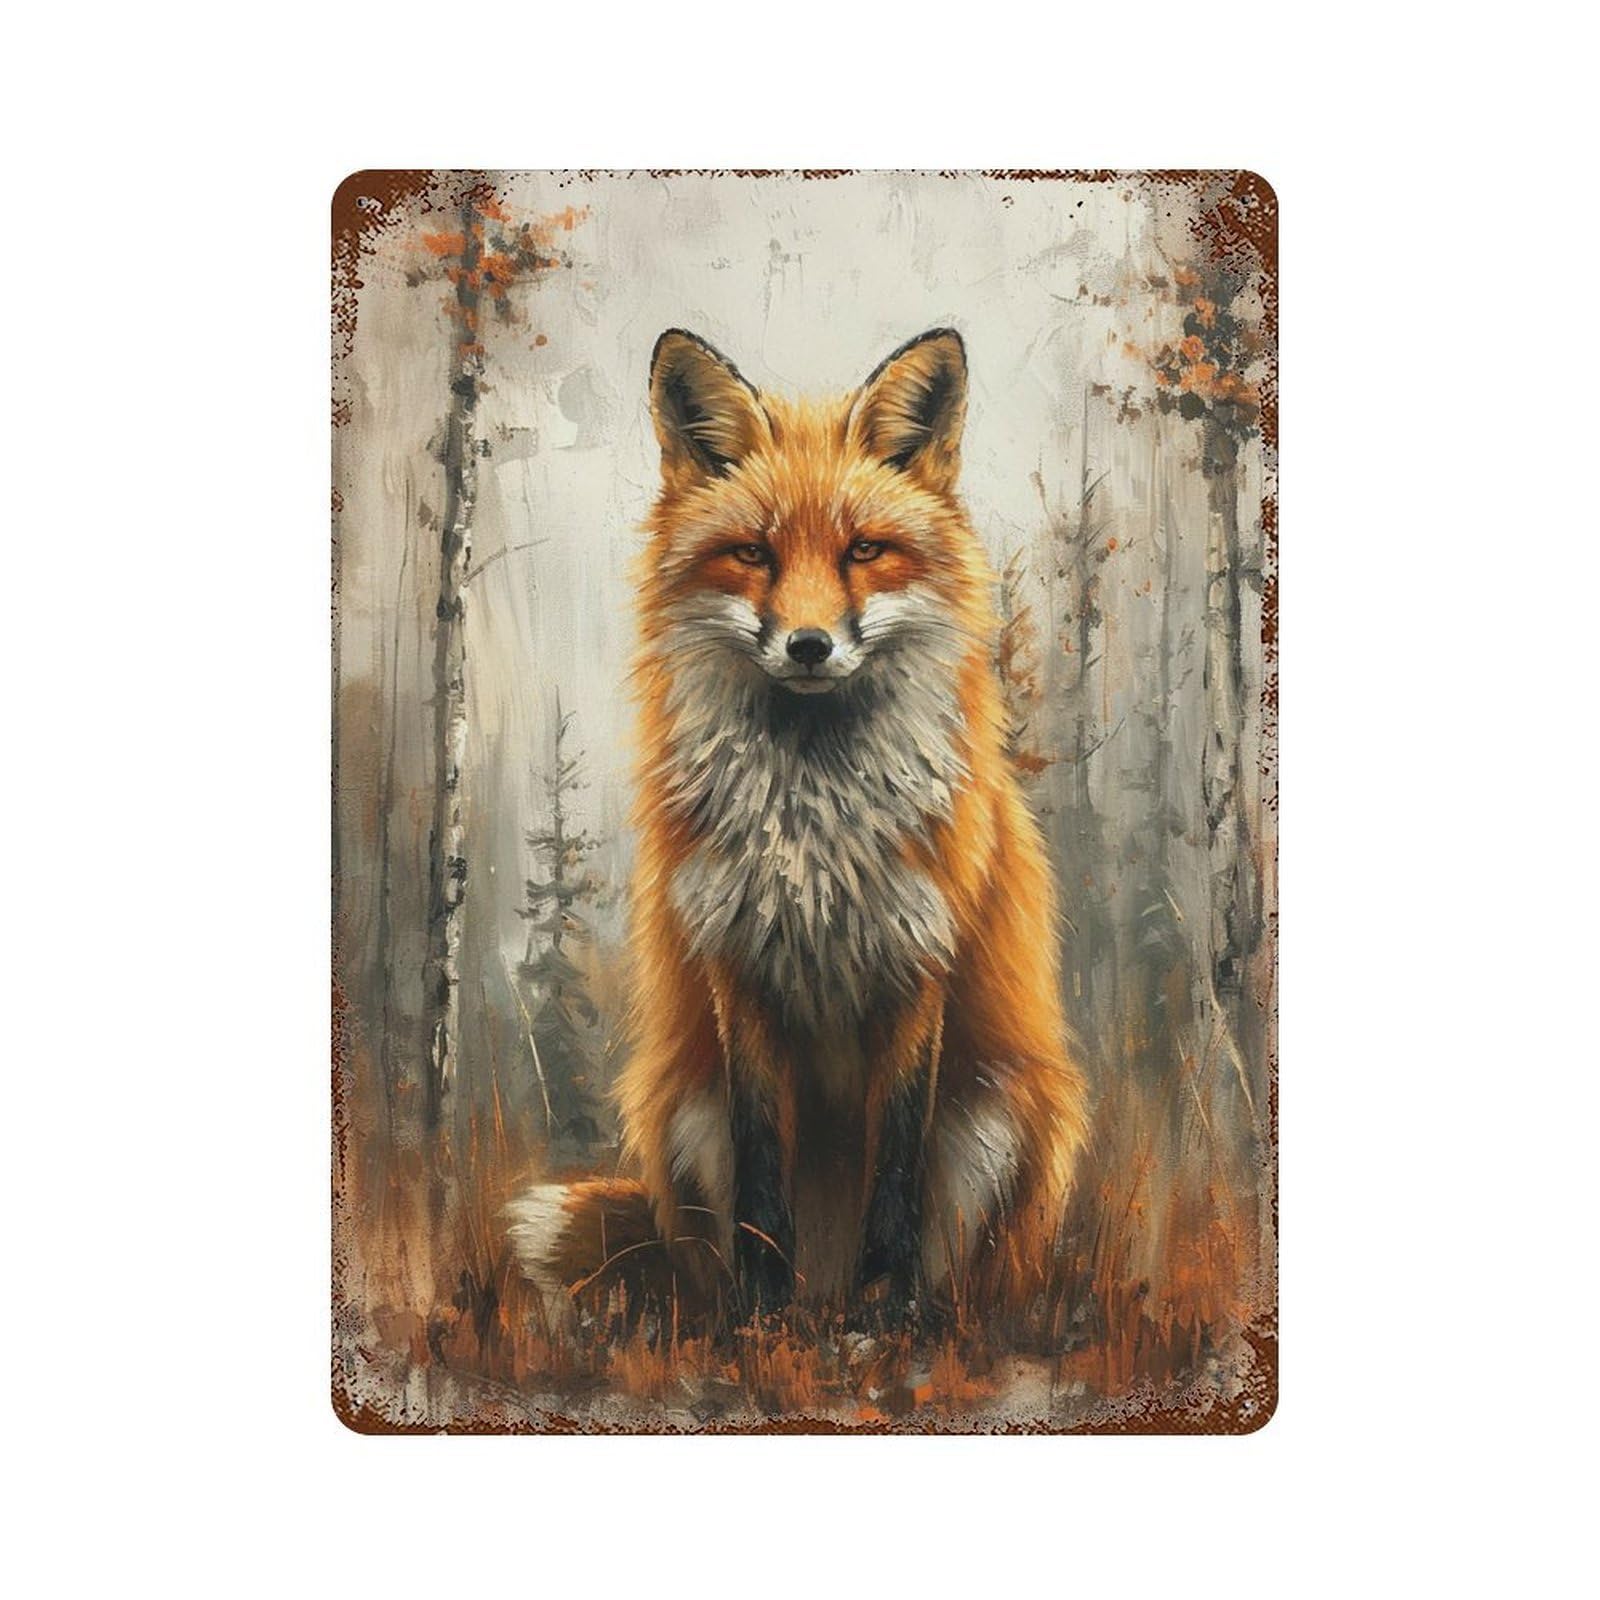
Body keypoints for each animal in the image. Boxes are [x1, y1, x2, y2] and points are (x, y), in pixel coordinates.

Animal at [508, 326, 1087, 1331]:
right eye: (753, 552)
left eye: (865, 550)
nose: (809, 645)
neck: (814, 824)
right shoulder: (738, 972)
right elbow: (760, 1175)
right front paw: (761, 1316)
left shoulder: (916, 966)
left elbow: (894, 1174)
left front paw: (885, 1314)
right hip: (679, 1108)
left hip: (1004, 1115)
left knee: (973, 1270)